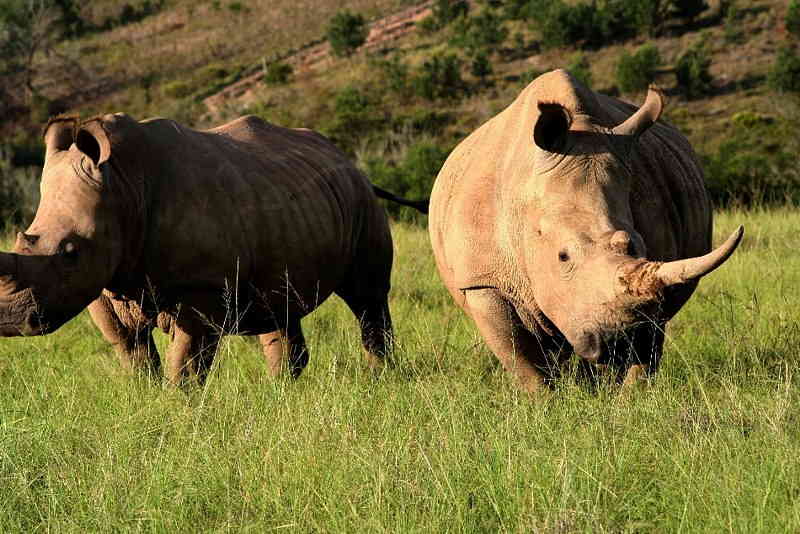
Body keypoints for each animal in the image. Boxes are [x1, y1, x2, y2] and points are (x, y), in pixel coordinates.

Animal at [0, 113, 426, 384]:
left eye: (70, 252)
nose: (11, 322)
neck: (123, 184)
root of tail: (348, 161)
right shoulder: (105, 286)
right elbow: (133, 353)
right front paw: (145, 396)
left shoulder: (200, 290)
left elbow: (186, 362)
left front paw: (179, 410)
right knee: (280, 306)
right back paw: (282, 390)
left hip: (359, 199)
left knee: (367, 295)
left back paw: (380, 378)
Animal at [428, 70, 743, 392]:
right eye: (563, 256)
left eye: (636, 244)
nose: (620, 340)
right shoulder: (482, 280)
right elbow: (521, 359)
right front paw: (544, 399)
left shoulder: (657, 283)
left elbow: (646, 352)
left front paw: (630, 398)